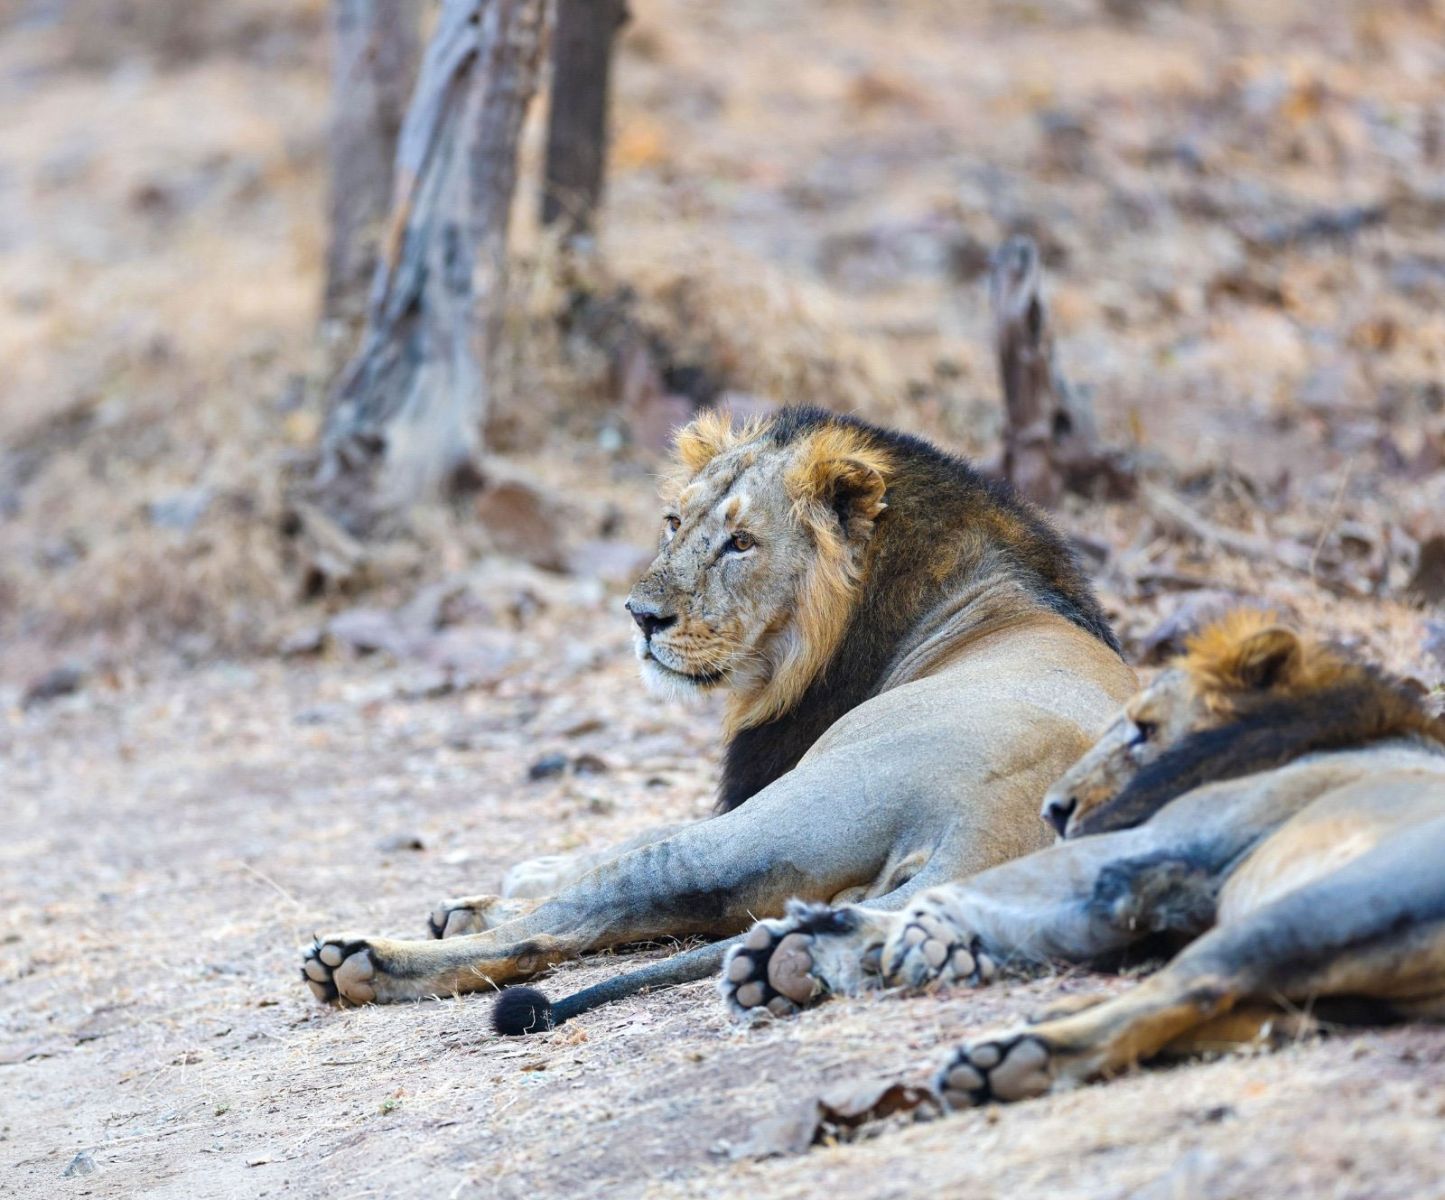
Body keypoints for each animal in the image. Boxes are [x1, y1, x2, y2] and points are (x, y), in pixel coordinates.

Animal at [299, 407, 1132, 1017]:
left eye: (740, 542)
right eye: (674, 522)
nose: (640, 616)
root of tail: (992, 824)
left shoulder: (752, 788)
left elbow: (615, 842)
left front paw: (498, 886)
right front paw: (476, 897)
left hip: (766, 825)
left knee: (563, 924)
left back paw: (360, 962)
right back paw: (791, 963)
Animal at [719, 615, 1445, 1116]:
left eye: (1144, 729)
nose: (1054, 808)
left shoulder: (1162, 842)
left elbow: (984, 888)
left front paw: (864, 941)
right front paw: (814, 954)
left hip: (1309, 911)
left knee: (1193, 989)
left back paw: (1010, 1060)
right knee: (1248, 1015)